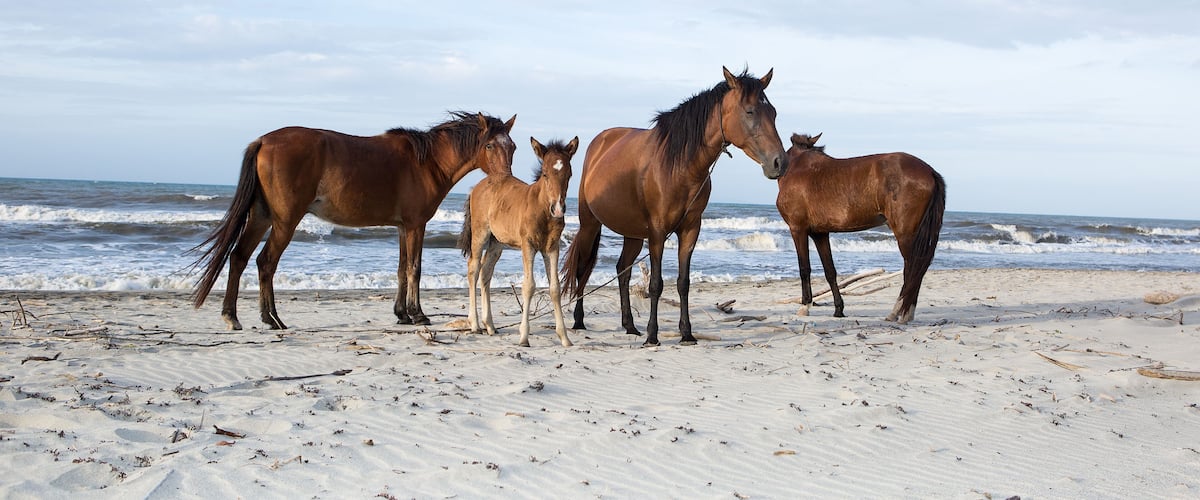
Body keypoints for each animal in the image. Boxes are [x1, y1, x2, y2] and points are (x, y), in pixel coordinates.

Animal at [190, 111, 517, 330]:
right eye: (489, 146)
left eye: (512, 146)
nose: (506, 180)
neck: (427, 162)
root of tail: (262, 141)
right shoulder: (416, 225)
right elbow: (414, 269)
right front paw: (418, 314)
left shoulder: (403, 227)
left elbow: (401, 270)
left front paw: (401, 314)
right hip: (285, 221)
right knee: (265, 262)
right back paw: (272, 318)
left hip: (262, 216)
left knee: (239, 257)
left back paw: (232, 316)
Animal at [458, 136, 579, 347]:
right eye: (545, 174)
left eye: (569, 174)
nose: (558, 209)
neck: (542, 209)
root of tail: (476, 188)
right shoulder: (527, 245)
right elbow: (528, 286)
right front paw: (523, 338)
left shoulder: (552, 247)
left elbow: (555, 288)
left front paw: (565, 338)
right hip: (480, 233)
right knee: (473, 268)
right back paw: (474, 324)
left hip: (496, 242)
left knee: (486, 272)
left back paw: (490, 325)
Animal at [561, 67, 787, 347]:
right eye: (750, 111)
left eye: (773, 112)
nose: (780, 162)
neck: (680, 166)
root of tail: (599, 143)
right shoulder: (658, 232)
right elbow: (656, 284)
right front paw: (653, 335)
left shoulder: (690, 230)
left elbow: (683, 282)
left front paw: (686, 333)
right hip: (589, 224)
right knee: (583, 269)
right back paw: (579, 321)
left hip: (633, 233)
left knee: (622, 271)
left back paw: (629, 326)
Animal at [775, 133, 946, 324]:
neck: (797, 169)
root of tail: (929, 171)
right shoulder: (820, 234)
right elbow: (830, 271)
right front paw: (839, 309)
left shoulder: (798, 229)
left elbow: (804, 268)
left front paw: (805, 306)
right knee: (917, 270)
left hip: (905, 235)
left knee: (911, 270)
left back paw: (898, 313)